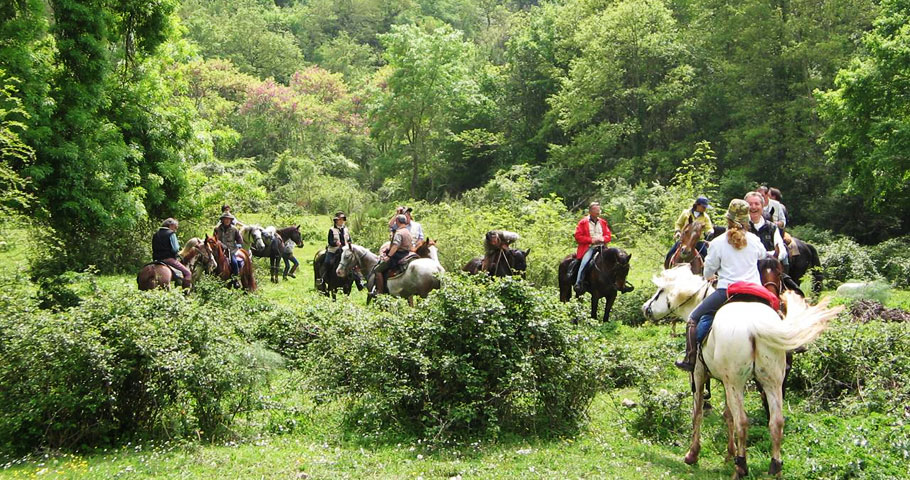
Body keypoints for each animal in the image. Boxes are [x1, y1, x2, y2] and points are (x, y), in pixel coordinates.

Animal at [684, 291, 842, 479]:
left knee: (742, 422)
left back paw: (740, 468)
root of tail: (755, 327)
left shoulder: (699, 373)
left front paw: (693, 454)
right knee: (776, 422)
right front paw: (729, 453)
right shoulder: (725, 381)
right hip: (771, 381)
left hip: (735, 382)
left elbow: (698, 413)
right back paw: (775, 468)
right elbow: (727, 414)